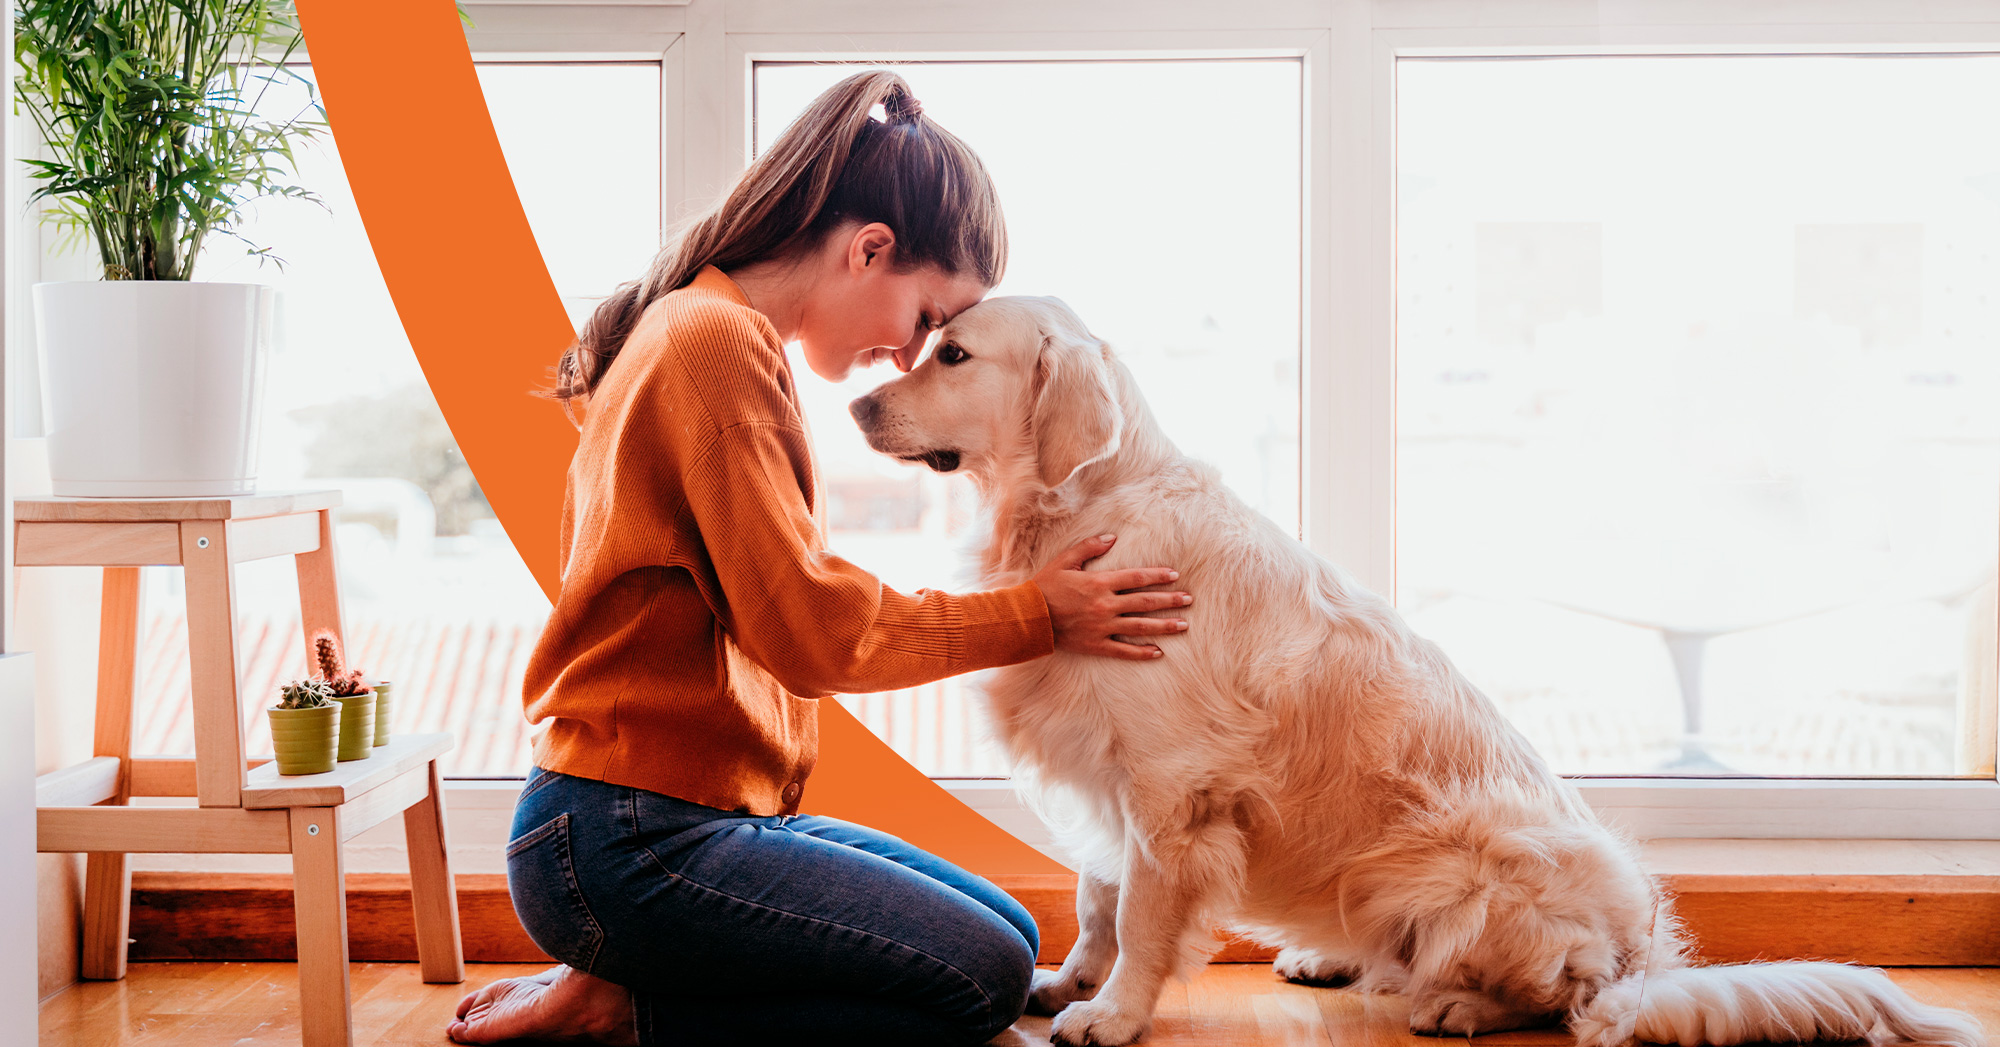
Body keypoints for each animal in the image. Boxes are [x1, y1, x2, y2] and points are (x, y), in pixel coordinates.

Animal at [844, 291, 1984, 1047]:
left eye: (952, 355)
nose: (853, 408)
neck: (1078, 514)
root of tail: (1638, 956)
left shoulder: (1170, 788)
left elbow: (1140, 914)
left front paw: (1112, 1012)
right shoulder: (1108, 771)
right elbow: (1093, 895)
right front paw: (1066, 981)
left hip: (1467, 864)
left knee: (1558, 999)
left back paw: (1454, 1001)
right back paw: (1333, 954)